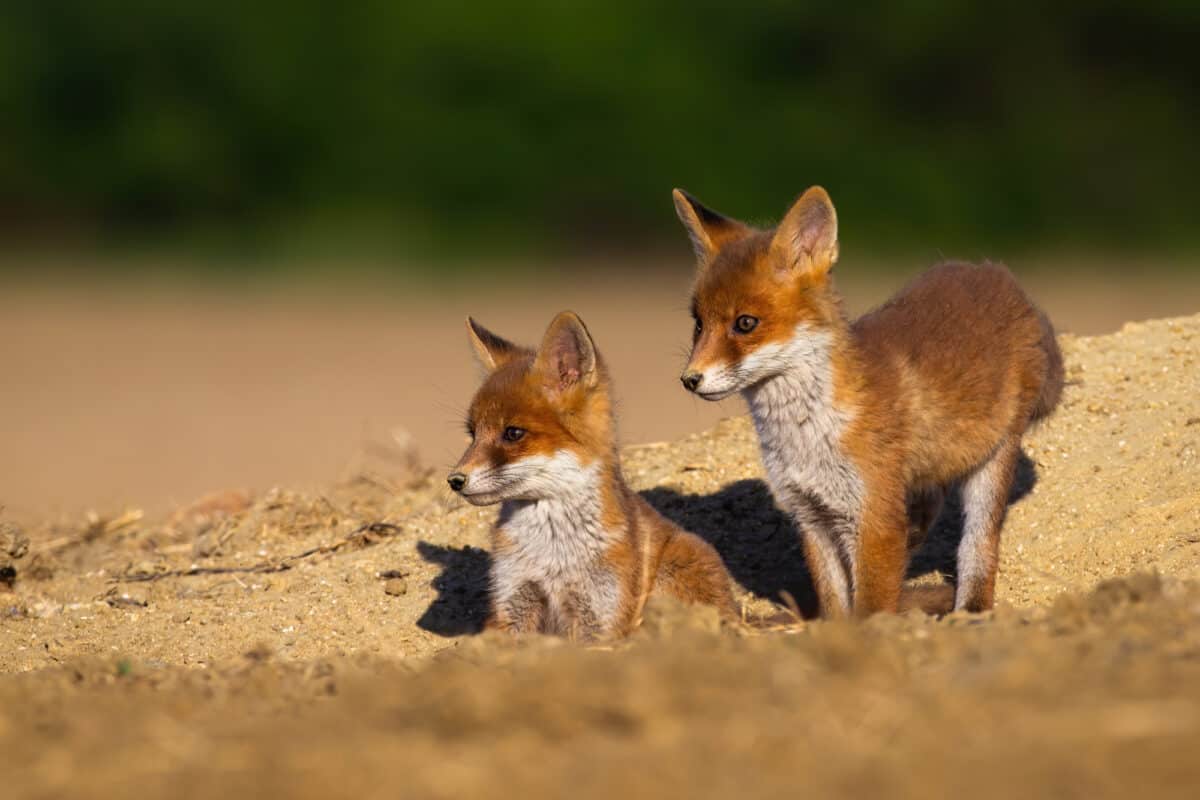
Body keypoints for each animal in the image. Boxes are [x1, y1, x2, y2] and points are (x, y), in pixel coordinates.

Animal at [446, 310, 738, 640]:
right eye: (473, 434)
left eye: (513, 433)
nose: (455, 480)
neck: (553, 553)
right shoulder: (512, 602)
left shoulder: (599, 616)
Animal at [672, 185, 1064, 618]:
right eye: (698, 324)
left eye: (745, 323)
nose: (690, 379)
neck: (806, 437)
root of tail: (1000, 276)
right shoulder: (812, 515)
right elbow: (835, 602)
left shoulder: (874, 517)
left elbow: (870, 605)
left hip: (992, 467)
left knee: (978, 548)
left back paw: (972, 610)